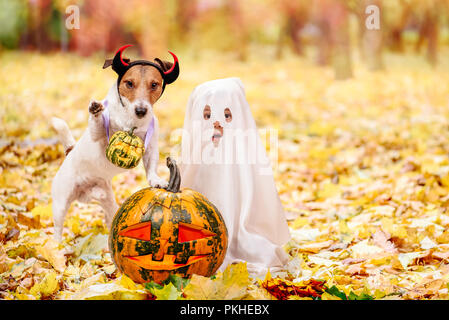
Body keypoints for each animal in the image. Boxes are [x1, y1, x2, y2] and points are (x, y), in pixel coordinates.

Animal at [50, 44, 178, 240]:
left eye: (154, 85)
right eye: (129, 83)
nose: (141, 110)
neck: (131, 122)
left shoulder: (150, 147)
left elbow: (151, 166)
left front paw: (156, 180)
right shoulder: (97, 136)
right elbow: (98, 125)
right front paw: (95, 111)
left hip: (109, 201)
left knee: (111, 217)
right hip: (60, 202)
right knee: (57, 227)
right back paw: (57, 244)